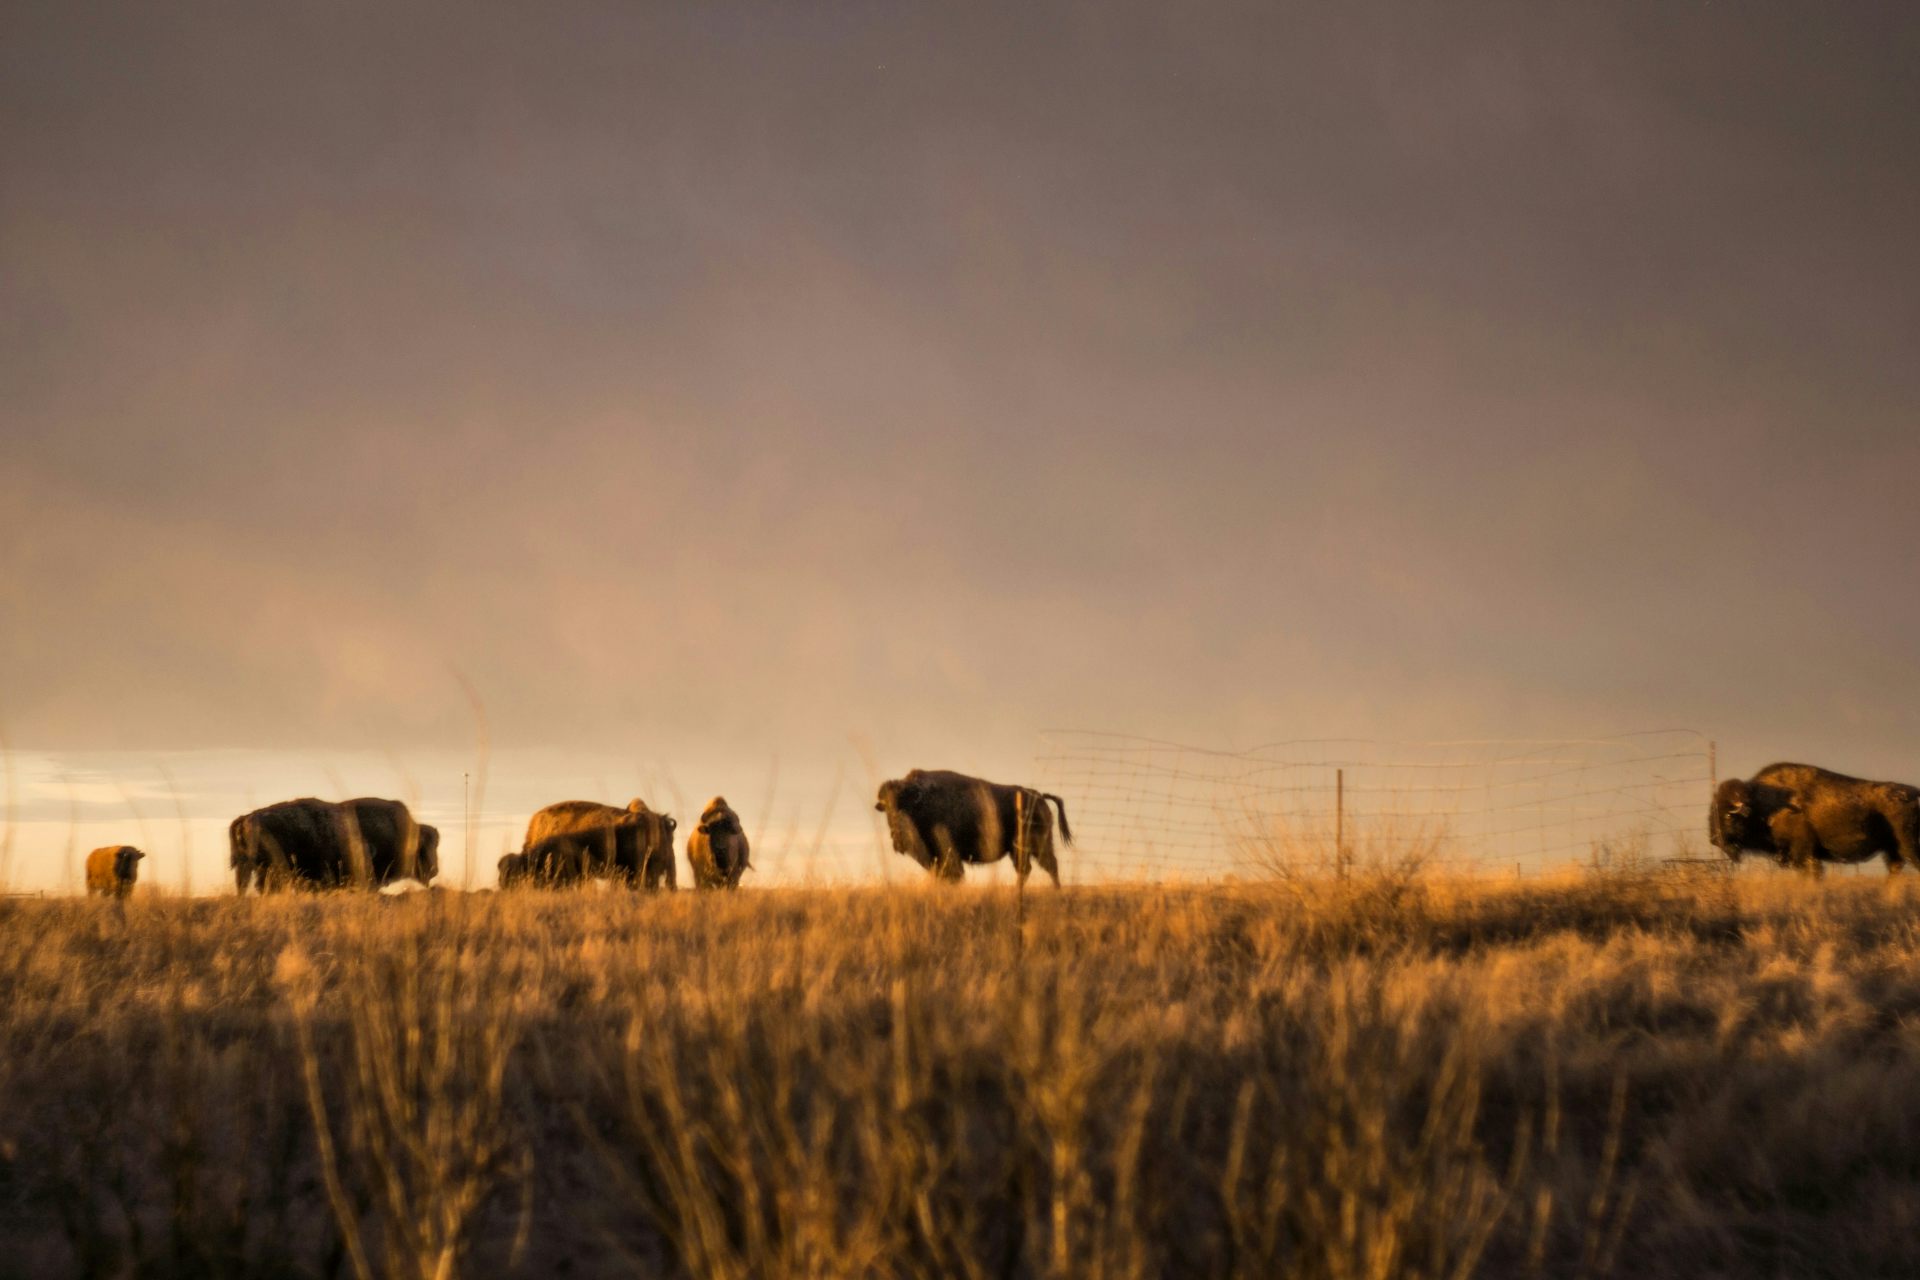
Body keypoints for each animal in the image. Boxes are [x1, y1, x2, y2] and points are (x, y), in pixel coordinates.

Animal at [874, 768, 1069, 888]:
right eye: (887, 808)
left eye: (903, 805)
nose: (897, 837)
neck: (921, 801)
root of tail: (1039, 796)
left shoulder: (949, 856)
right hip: (1019, 850)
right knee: (1029, 869)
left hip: (1037, 845)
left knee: (1049, 865)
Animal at [1710, 762, 1920, 875]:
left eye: (1729, 816)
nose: (1714, 840)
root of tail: (1915, 794)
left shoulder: (1803, 852)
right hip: (1892, 849)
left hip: (1909, 846)